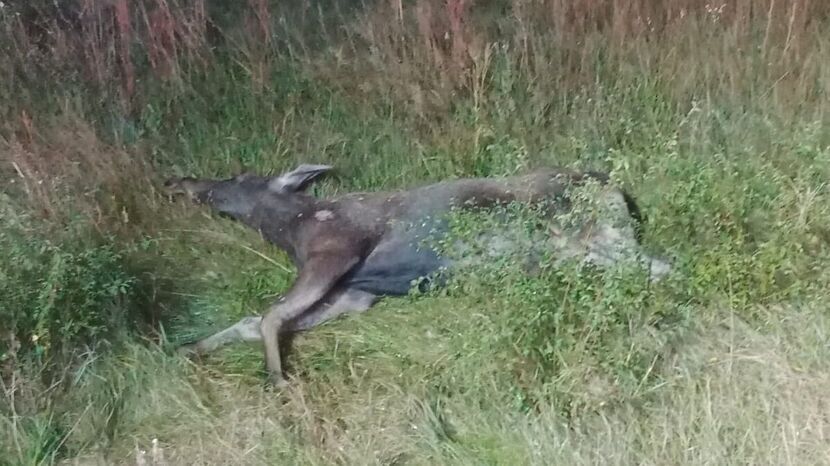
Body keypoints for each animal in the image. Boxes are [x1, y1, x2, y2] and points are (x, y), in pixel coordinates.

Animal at [166, 164, 672, 386]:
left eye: (238, 176)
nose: (182, 181)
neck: (291, 227)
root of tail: (613, 185)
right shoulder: (354, 294)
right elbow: (256, 320)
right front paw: (190, 348)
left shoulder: (337, 247)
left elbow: (269, 316)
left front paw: (276, 376)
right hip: (587, 248)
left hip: (586, 234)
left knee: (658, 267)